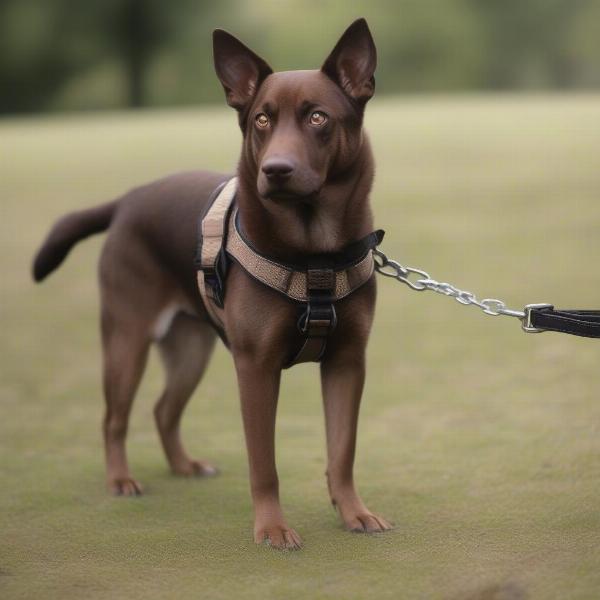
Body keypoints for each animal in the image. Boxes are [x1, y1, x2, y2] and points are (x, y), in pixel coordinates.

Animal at [32, 18, 392, 548]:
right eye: (261, 120)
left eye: (318, 118)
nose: (276, 171)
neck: (315, 253)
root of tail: (127, 200)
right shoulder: (256, 367)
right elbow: (264, 463)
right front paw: (272, 527)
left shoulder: (347, 362)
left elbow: (341, 451)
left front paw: (354, 512)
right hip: (126, 339)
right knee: (114, 418)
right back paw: (120, 479)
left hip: (190, 347)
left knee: (164, 410)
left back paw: (183, 466)